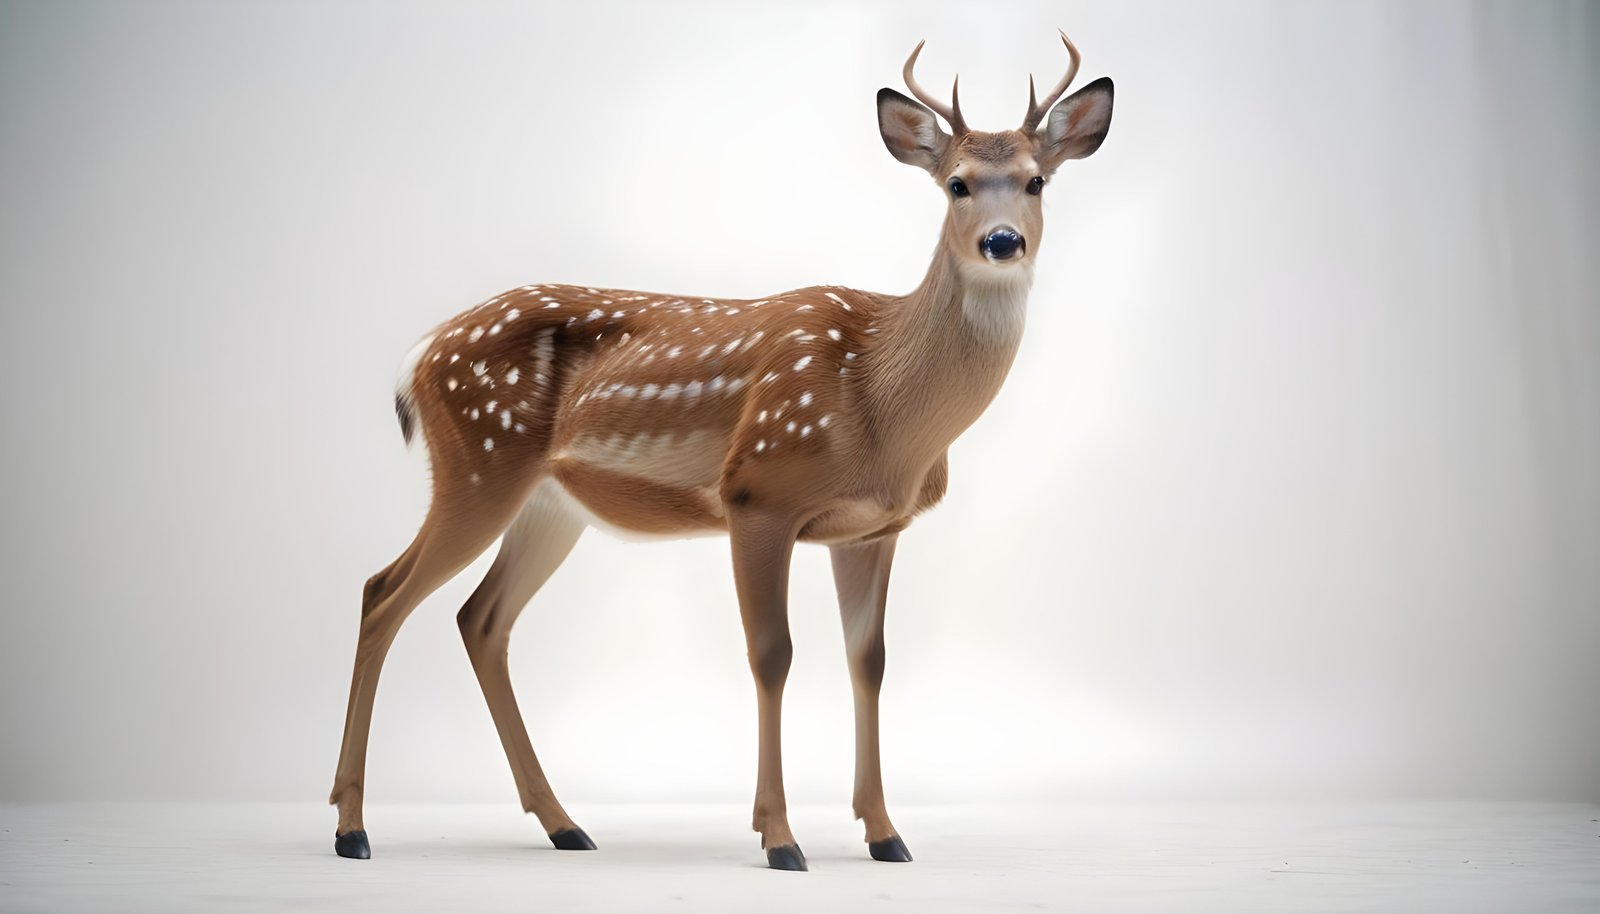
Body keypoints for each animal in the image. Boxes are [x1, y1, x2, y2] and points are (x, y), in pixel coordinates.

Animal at [330, 32, 1114, 871]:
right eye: (957, 185)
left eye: (1037, 180)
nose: (1003, 241)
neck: (878, 403)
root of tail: (418, 357)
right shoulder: (757, 493)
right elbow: (773, 654)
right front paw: (780, 839)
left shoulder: (872, 529)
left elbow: (867, 662)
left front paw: (885, 833)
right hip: (478, 461)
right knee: (382, 592)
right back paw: (352, 828)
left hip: (550, 506)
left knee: (480, 619)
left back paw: (565, 824)